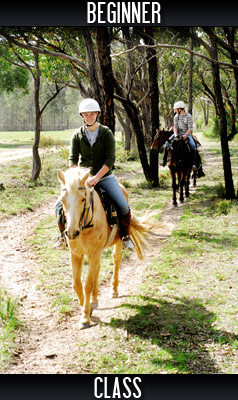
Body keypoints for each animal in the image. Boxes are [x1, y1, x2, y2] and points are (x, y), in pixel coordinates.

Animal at [57, 166, 158, 328]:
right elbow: (77, 284)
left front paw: (85, 317)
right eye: (62, 200)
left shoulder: (93, 252)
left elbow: (87, 284)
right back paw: (94, 300)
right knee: (97, 271)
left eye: (83, 199)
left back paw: (114, 290)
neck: (85, 224)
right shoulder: (76, 253)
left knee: (116, 260)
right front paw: (86, 308)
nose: (72, 232)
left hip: (116, 242)